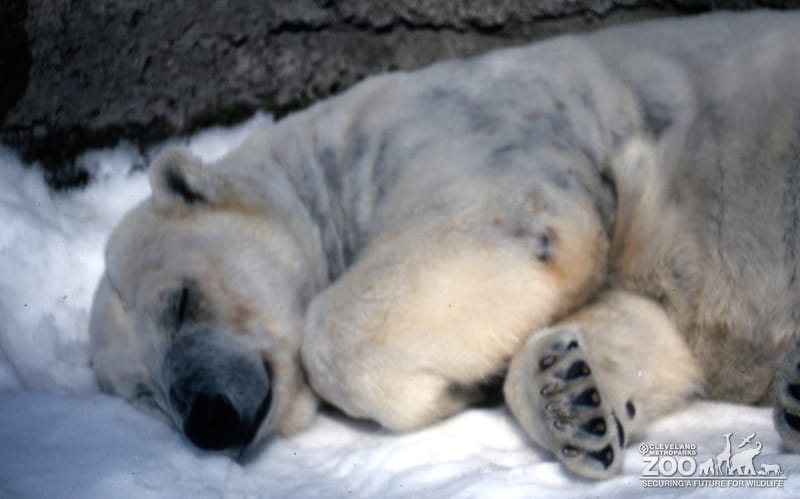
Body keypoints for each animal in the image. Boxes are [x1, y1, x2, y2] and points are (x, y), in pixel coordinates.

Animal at [89, 10, 800, 479]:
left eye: (183, 301)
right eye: (143, 393)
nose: (206, 419)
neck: (326, 159)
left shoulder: (458, 123)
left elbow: (500, 221)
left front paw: (442, 393)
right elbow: (643, 325)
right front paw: (570, 393)